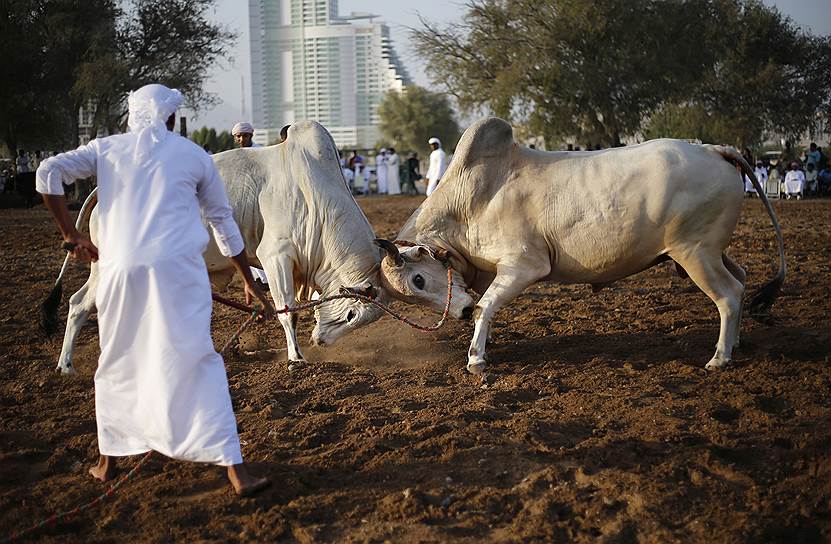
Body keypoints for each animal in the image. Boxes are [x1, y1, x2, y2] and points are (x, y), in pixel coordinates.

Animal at [50, 120, 388, 374]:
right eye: (352, 315)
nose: (321, 341)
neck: (316, 196)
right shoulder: (275, 257)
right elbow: (287, 312)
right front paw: (296, 358)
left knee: (83, 302)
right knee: (79, 304)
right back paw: (67, 365)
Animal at [378, 117, 788, 374]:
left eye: (418, 279)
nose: (458, 313)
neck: (470, 201)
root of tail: (714, 150)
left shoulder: (524, 265)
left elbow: (485, 305)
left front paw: (476, 357)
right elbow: (485, 308)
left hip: (695, 253)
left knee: (729, 295)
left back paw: (719, 358)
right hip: (709, 252)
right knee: (742, 278)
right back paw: (736, 344)